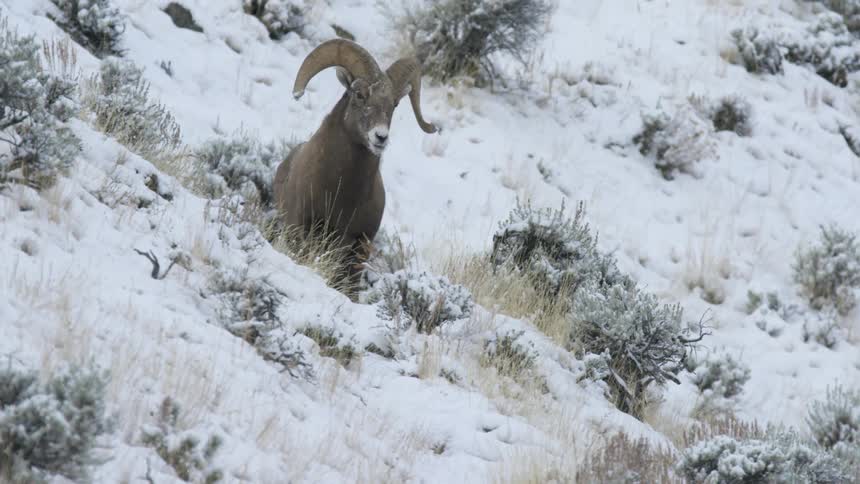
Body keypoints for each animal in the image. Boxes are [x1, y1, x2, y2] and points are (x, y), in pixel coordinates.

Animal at [274, 39, 437, 283]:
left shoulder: (356, 245)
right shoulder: (299, 225)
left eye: (395, 104)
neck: (340, 192)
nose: (380, 137)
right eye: (359, 94)